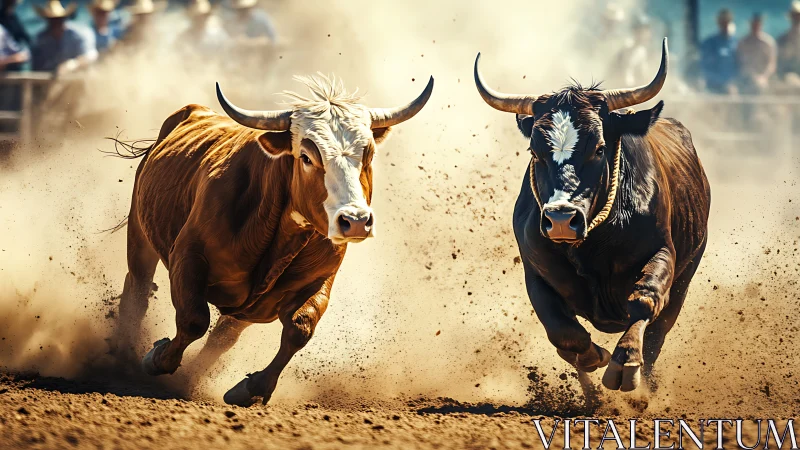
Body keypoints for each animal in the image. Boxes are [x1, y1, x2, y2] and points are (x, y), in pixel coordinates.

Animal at [110, 74, 434, 406]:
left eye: (368, 155)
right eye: (306, 157)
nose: (355, 220)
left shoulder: (319, 279)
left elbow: (299, 329)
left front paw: (251, 387)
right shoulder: (188, 256)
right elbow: (194, 319)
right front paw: (155, 358)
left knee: (224, 334)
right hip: (140, 232)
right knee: (138, 289)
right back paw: (125, 353)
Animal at [474, 39, 710, 394]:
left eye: (599, 148)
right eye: (534, 152)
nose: (560, 219)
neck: (594, 244)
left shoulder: (663, 253)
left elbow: (645, 299)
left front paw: (625, 362)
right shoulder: (535, 271)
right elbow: (564, 334)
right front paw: (594, 357)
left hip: (686, 276)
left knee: (659, 332)